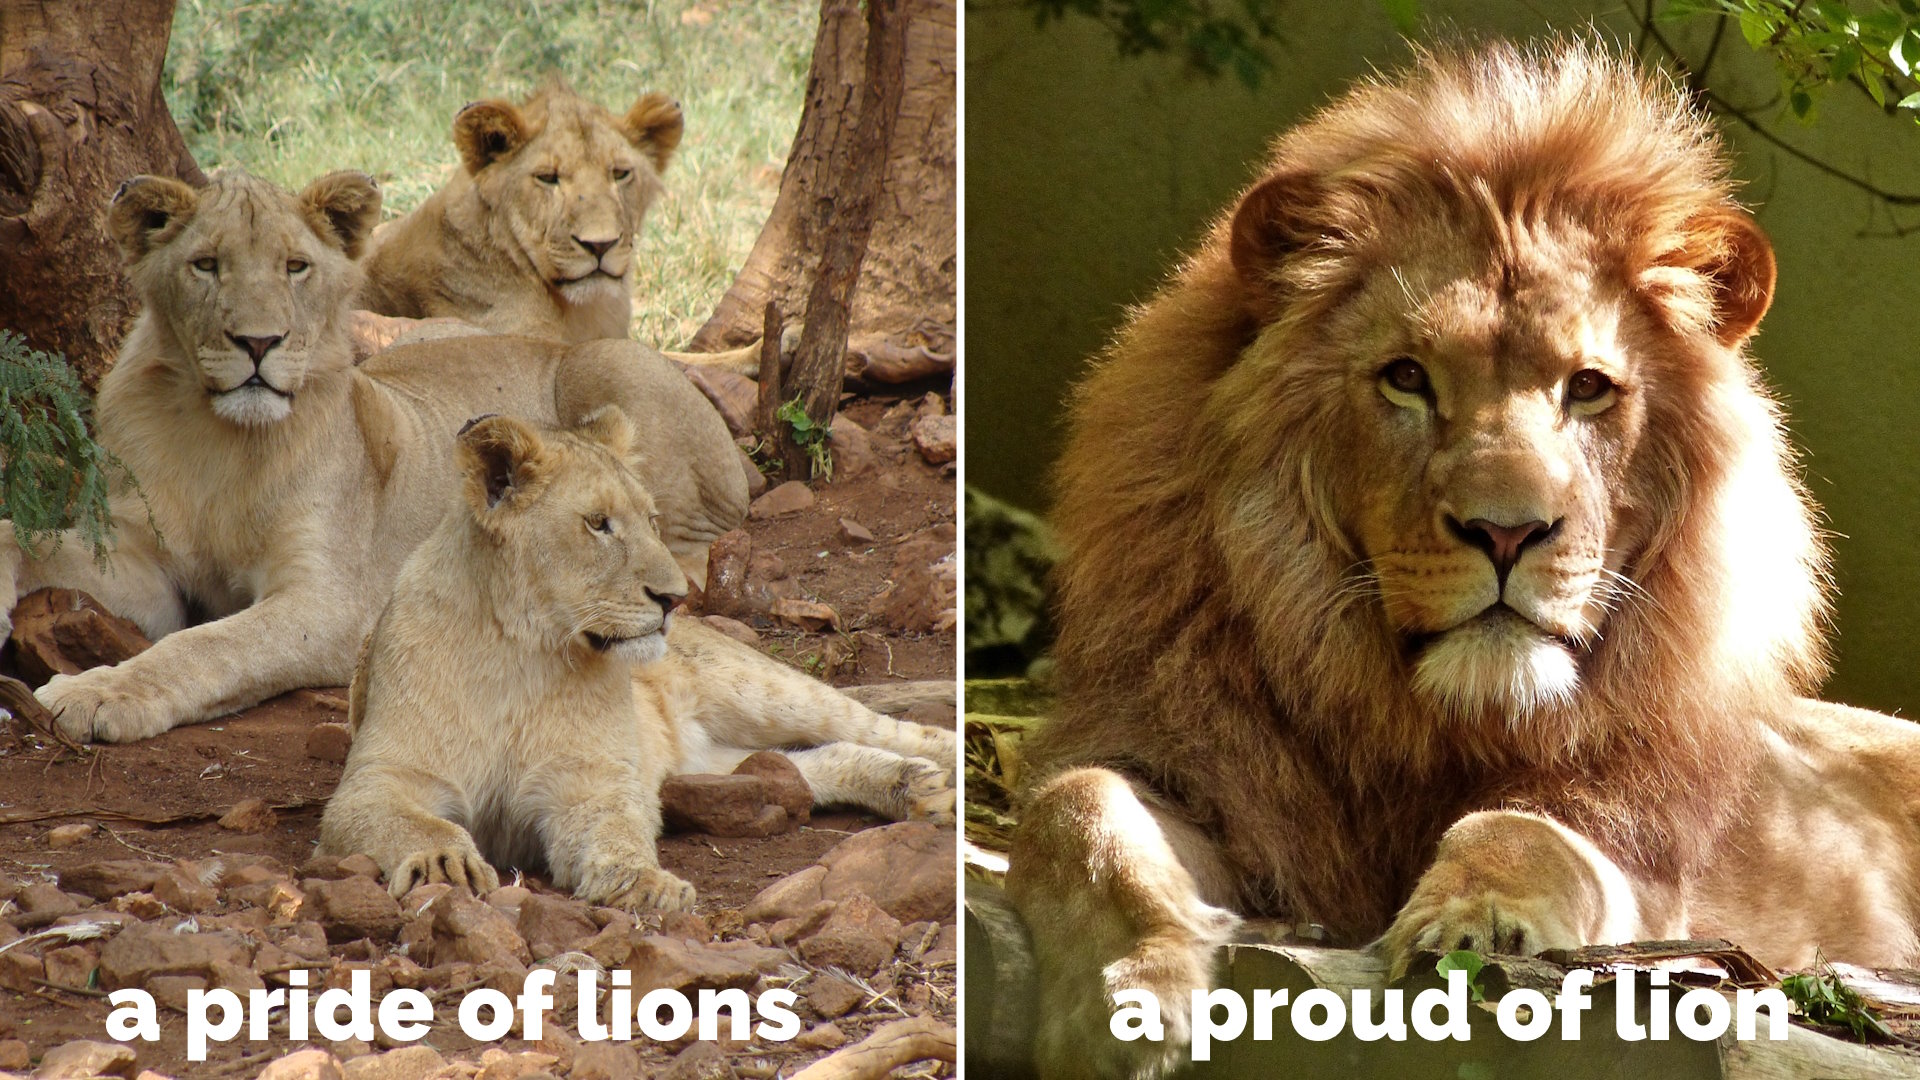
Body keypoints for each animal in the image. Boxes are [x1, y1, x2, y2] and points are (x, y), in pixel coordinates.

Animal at [0, 168, 748, 744]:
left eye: (295, 267)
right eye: (205, 264)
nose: (258, 343)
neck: (220, 440)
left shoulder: (329, 603)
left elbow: (205, 646)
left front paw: (97, 694)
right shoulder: (142, 565)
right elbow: (26, 539)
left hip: (605, 366)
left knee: (696, 556)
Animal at [318, 409, 957, 908]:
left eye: (652, 520)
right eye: (598, 524)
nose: (675, 597)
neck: (523, 650)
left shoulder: (593, 780)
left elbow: (616, 830)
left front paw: (644, 884)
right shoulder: (378, 779)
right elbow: (413, 820)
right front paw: (442, 864)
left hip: (760, 688)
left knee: (892, 728)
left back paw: (942, 772)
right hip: (705, 762)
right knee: (804, 761)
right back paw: (913, 785)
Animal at [1004, 40, 1920, 1079]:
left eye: (1588, 389)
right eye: (1407, 378)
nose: (1508, 532)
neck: (1426, 720)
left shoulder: (1641, 863)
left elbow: (1528, 832)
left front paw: (1478, 924)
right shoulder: (1195, 765)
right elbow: (1077, 810)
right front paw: (1130, 993)